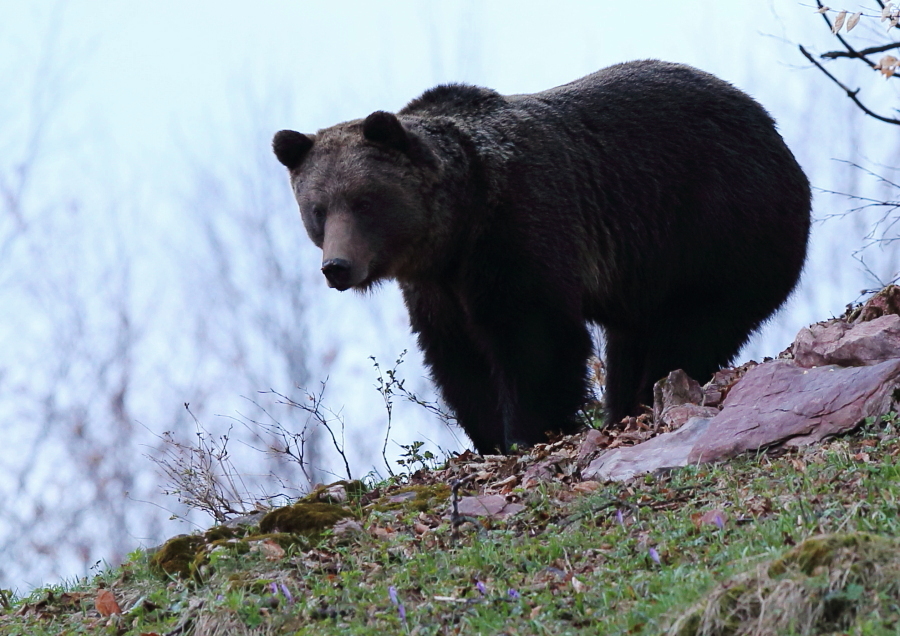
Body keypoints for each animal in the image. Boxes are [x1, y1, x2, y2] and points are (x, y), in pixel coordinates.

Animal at [270, 59, 812, 454]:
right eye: (318, 210)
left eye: (364, 201)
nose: (337, 267)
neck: (457, 227)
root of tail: (773, 132)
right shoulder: (435, 286)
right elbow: (457, 357)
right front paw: (491, 435)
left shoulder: (521, 229)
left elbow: (535, 339)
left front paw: (530, 429)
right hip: (646, 271)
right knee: (633, 339)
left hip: (717, 229)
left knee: (693, 328)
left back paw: (647, 397)